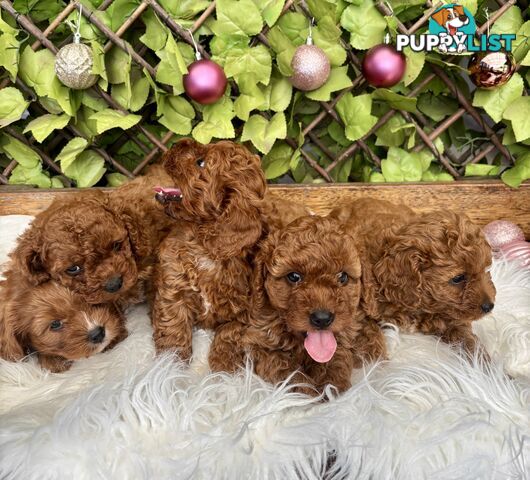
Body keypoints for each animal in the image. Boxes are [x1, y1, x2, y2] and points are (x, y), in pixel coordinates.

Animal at [208, 216, 386, 396]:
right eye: (294, 276)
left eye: (342, 277)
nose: (322, 318)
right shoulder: (256, 341)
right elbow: (282, 364)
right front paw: (304, 391)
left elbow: (336, 356)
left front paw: (330, 387)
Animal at [328, 199, 492, 352]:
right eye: (458, 278)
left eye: (486, 269)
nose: (489, 306)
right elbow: (367, 332)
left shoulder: (450, 316)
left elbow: (466, 337)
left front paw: (483, 361)